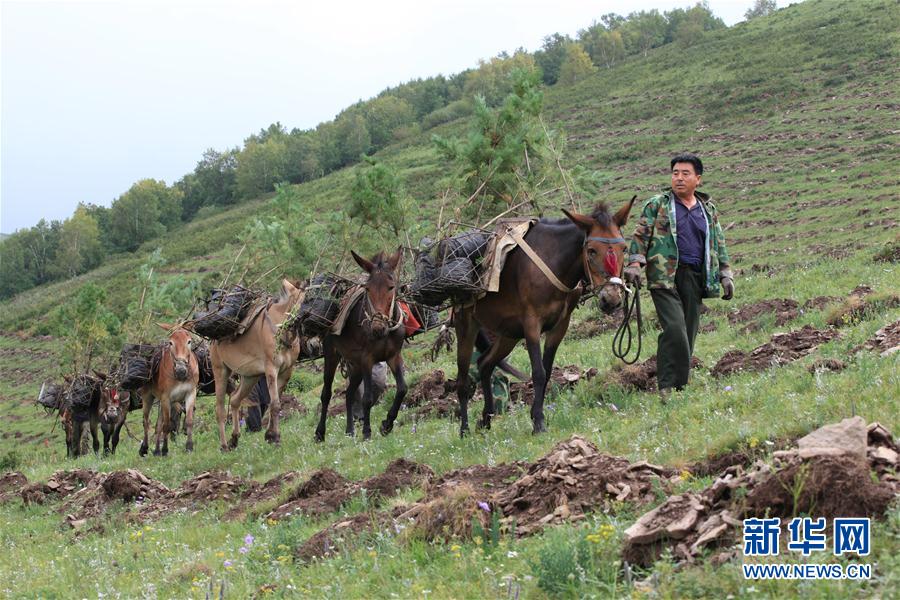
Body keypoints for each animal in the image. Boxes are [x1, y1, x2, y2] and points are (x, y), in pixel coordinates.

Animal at [138, 326, 200, 458]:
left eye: (189, 341)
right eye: (171, 342)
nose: (181, 370)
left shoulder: (190, 394)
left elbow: (189, 421)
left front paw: (189, 447)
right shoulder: (166, 398)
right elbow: (166, 425)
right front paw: (165, 450)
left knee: (158, 424)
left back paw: (156, 451)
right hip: (148, 397)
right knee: (146, 421)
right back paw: (144, 449)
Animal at [213, 278, 304, 448]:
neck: (281, 330)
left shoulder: (286, 372)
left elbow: (274, 403)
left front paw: (270, 435)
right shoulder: (271, 370)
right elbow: (275, 404)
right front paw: (275, 438)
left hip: (250, 377)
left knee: (235, 400)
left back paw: (234, 438)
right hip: (220, 371)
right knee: (220, 410)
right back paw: (223, 446)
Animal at [312, 248, 404, 440]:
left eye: (391, 287)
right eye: (367, 288)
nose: (377, 328)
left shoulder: (394, 356)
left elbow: (402, 389)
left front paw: (387, 424)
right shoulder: (367, 359)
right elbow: (367, 398)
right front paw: (367, 432)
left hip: (355, 365)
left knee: (349, 394)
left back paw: (349, 431)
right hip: (332, 355)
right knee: (326, 394)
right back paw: (320, 433)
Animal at [454, 200, 636, 436]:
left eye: (624, 248)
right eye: (591, 250)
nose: (611, 299)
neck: (554, 263)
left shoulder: (560, 326)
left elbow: (548, 371)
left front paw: (536, 415)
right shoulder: (532, 323)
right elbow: (538, 372)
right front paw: (539, 423)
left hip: (509, 333)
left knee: (485, 364)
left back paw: (486, 418)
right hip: (465, 326)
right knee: (462, 381)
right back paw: (464, 430)